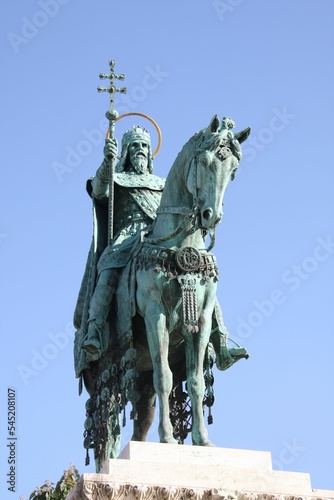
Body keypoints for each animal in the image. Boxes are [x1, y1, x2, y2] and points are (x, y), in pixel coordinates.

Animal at [83, 114, 250, 468]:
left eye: (233, 170)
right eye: (205, 161)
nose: (210, 216)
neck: (179, 245)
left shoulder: (200, 320)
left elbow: (196, 381)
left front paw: (203, 441)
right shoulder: (155, 315)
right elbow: (166, 375)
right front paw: (170, 439)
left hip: (139, 378)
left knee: (140, 420)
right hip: (105, 375)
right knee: (106, 432)